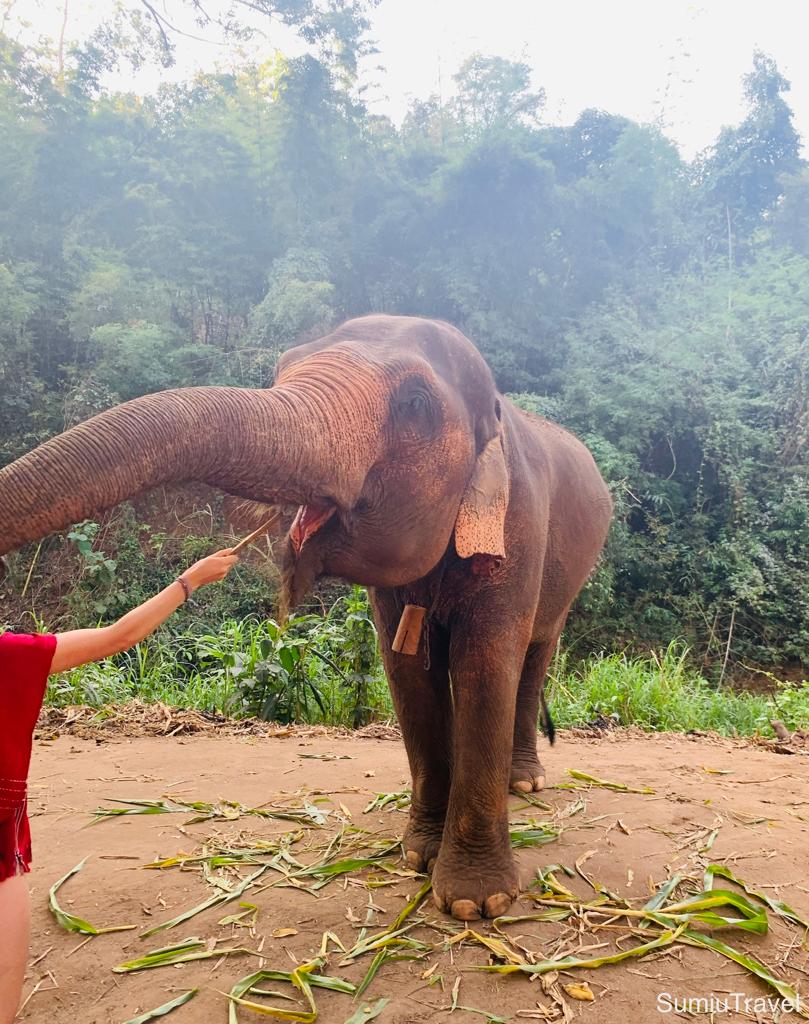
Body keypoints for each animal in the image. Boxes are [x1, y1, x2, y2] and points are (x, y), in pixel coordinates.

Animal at [0, 314, 612, 920]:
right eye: (283, 367)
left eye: (415, 403)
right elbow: (405, 671)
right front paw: (419, 857)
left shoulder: (519, 527)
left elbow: (486, 662)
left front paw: (475, 902)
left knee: (535, 654)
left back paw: (524, 784)